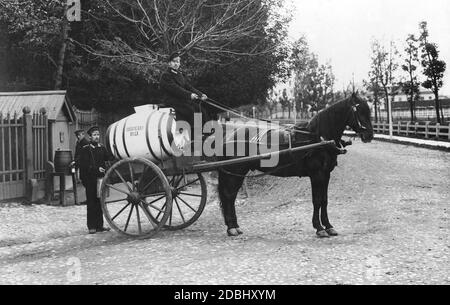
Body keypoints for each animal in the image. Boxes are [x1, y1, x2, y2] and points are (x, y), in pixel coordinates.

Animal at [218, 92, 372, 238]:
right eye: (359, 111)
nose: (369, 135)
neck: (318, 138)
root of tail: (229, 137)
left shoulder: (326, 174)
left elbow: (324, 200)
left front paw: (328, 226)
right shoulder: (316, 175)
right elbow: (317, 200)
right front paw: (319, 228)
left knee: (230, 197)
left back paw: (235, 226)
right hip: (235, 172)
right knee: (229, 196)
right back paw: (232, 228)